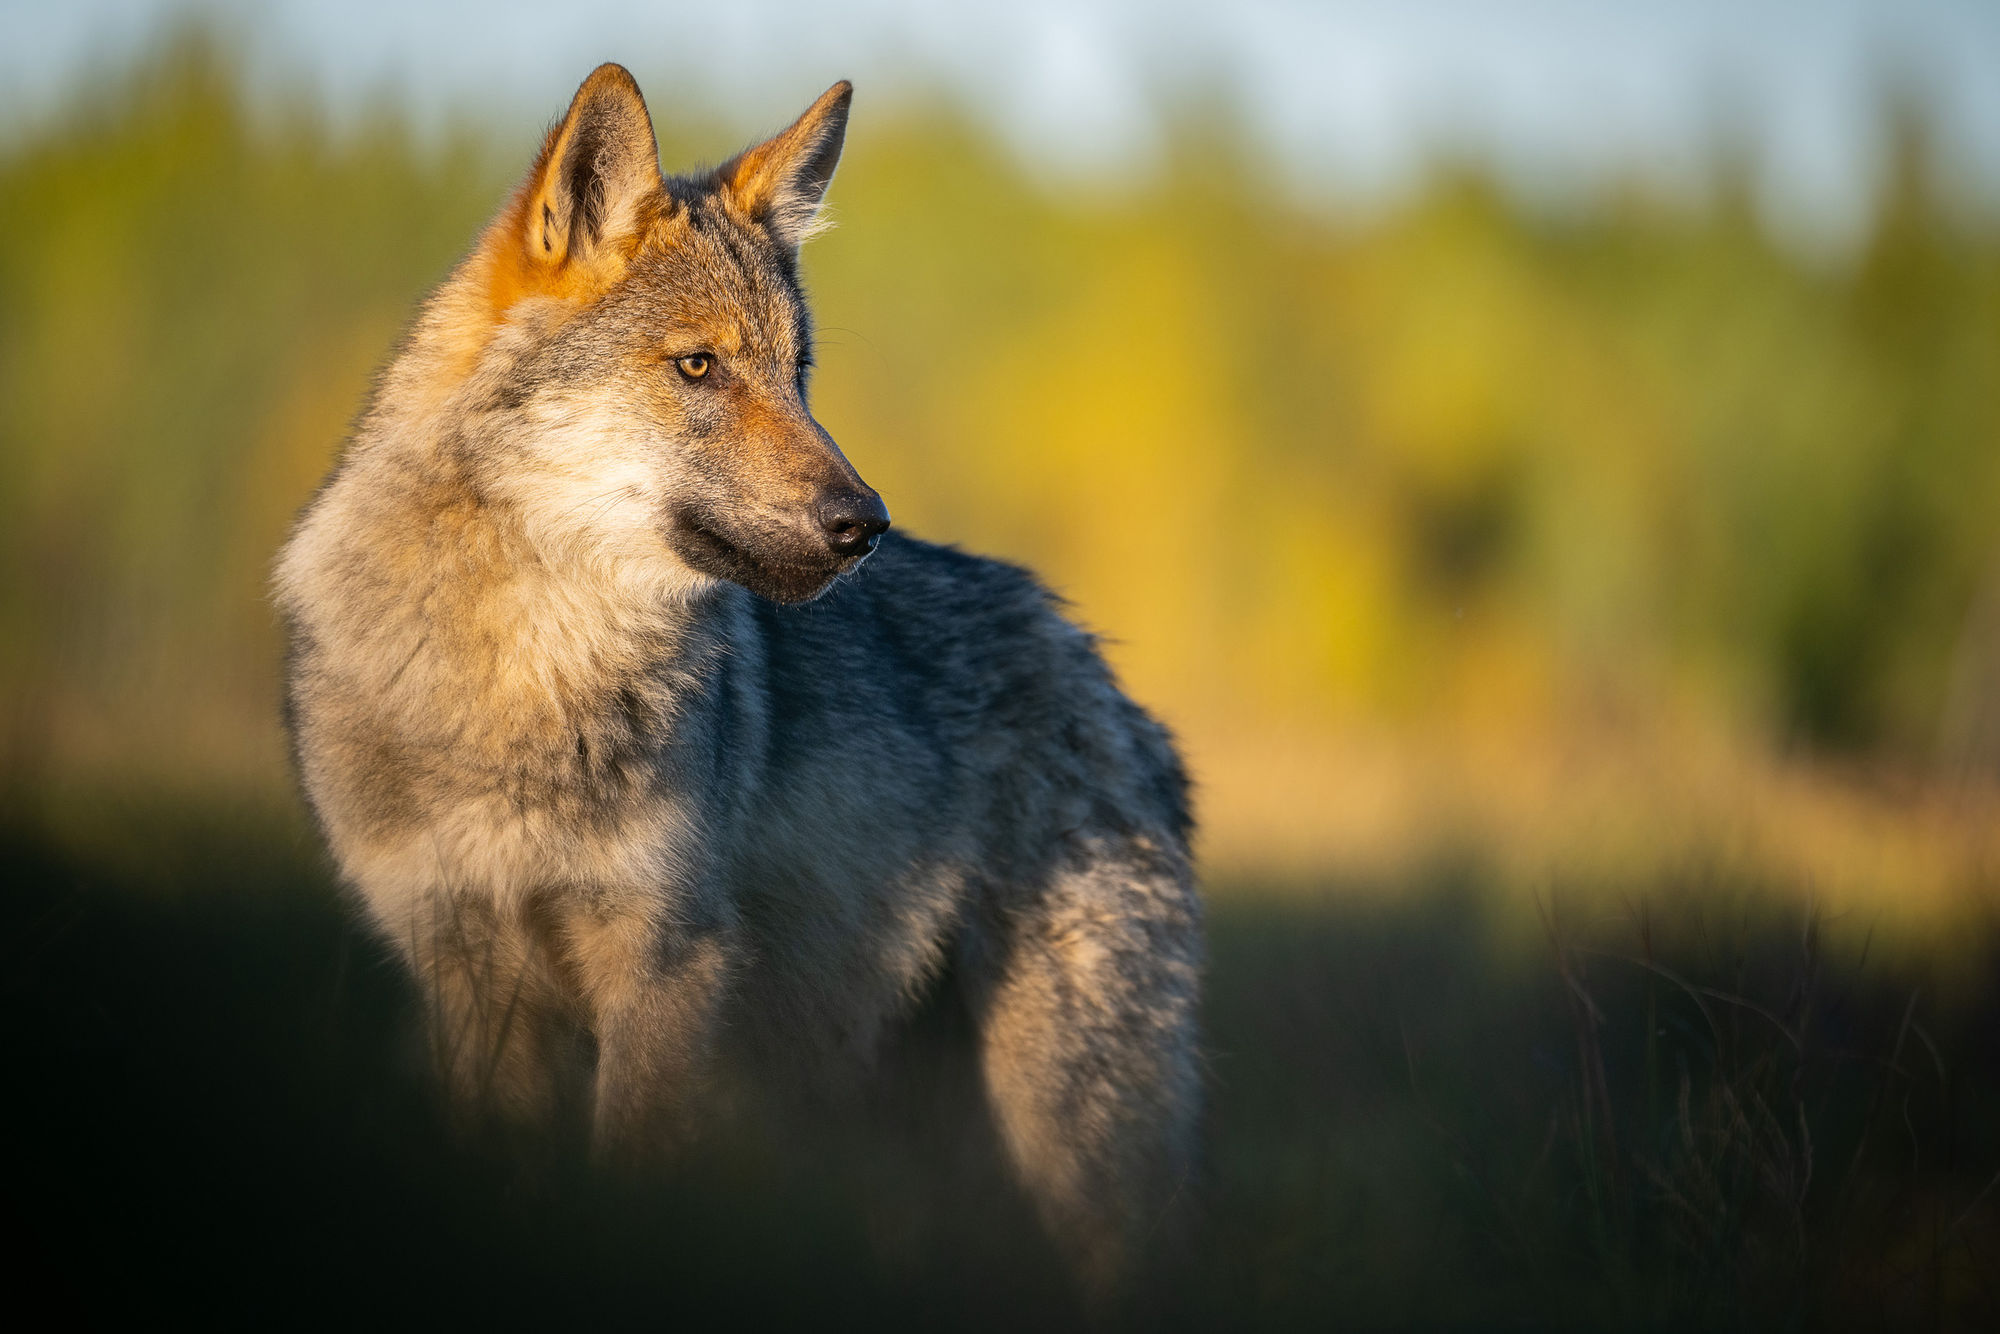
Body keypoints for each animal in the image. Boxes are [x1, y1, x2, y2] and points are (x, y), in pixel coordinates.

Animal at [274, 64, 1202, 1290]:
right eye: (698, 366)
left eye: (797, 373)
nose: (866, 526)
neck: (527, 674)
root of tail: (1109, 680)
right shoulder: (466, 975)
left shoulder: (665, 966)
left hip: (1071, 1131)